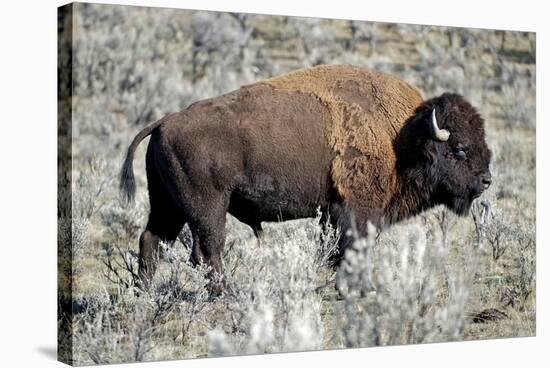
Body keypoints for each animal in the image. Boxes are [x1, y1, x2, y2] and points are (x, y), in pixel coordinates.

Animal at [119, 63, 492, 288]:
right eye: (459, 149)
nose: (486, 180)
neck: (401, 136)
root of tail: (165, 121)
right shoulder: (357, 210)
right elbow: (351, 248)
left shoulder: (331, 211)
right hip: (207, 207)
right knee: (207, 250)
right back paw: (225, 293)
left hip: (168, 205)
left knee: (152, 240)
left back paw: (144, 292)